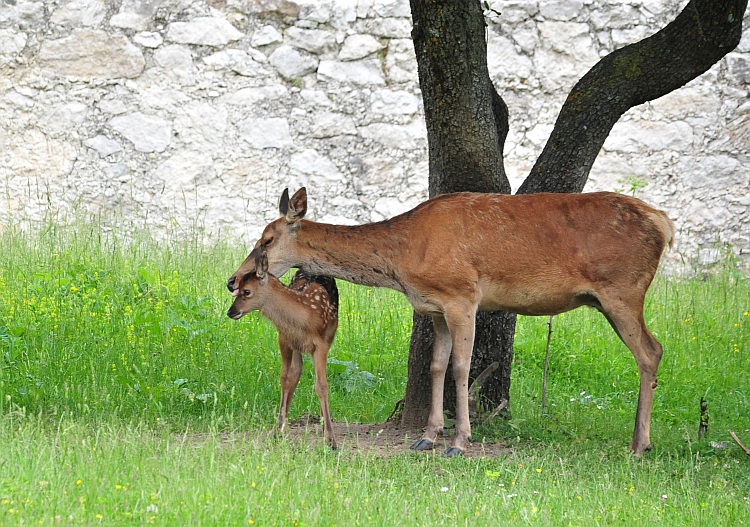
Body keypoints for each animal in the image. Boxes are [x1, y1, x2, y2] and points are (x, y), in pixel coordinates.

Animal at [225, 252, 340, 450]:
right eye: (237, 290)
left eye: (246, 291)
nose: (231, 312)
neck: (304, 317)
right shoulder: (284, 339)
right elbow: (286, 379)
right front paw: (278, 430)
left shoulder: (321, 344)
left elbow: (322, 386)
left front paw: (331, 439)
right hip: (295, 347)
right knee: (296, 372)